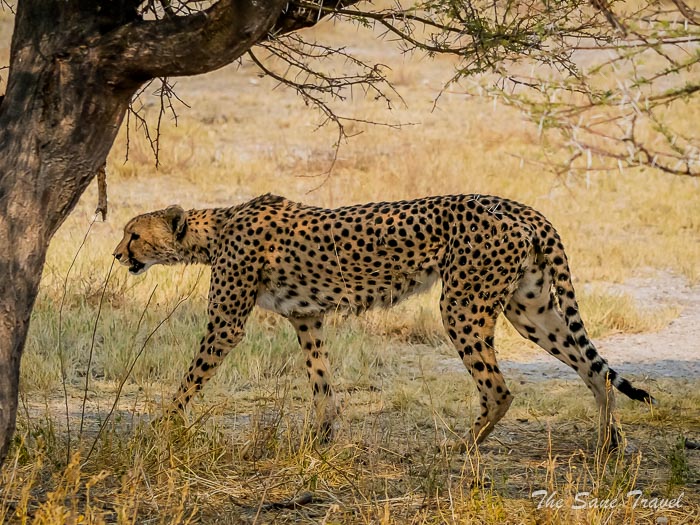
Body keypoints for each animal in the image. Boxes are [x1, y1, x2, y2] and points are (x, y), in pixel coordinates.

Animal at [113, 193, 655, 449]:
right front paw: (320, 437)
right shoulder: (307, 317)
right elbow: (321, 382)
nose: (118, 254)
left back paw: (462, 446)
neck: (215, 228)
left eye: (134, 234)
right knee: (593, 369)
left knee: (499, 389)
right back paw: (609, 445)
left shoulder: (226, 323)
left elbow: (190, 378)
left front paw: (160, 426)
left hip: (463, 304)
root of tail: (520, 207)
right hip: (529, 308)